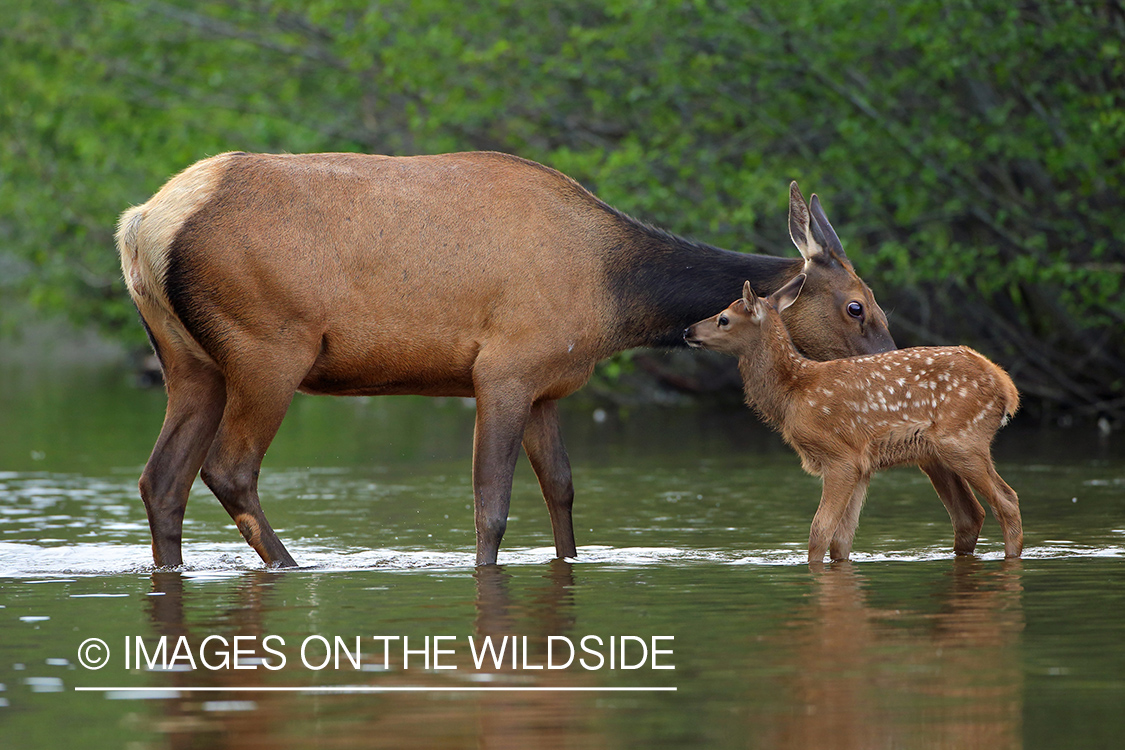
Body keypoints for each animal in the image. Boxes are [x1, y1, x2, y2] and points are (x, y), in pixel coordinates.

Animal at [120, 149, 895, 566]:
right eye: (858, 306)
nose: (897, 359)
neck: (614, 298)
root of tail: (142, 223)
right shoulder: (504, 369)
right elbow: (490, 506)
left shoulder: (549, 385)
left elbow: (562, 490)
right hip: (269, 348)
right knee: (228, 469)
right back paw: (295, 566)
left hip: (190, 362)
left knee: (162, 480)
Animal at [679, 275, 1026, 562]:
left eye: (724, 318)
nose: (687, 331)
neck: (792, 395)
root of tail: (1006, 385)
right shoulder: (862, 464)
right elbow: (842, 540)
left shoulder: (839, 456)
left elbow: (819, 531)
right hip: (942, 451)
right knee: (973, 514)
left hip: (963, 439)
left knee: (1006, 501)